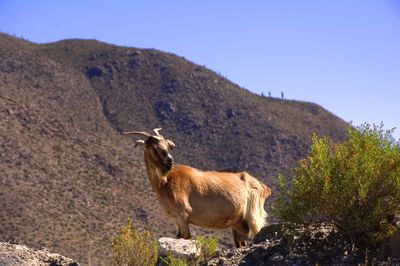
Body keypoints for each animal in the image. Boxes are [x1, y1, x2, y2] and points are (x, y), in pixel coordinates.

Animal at [122, 129, 272, 247]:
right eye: (153, 148)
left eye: (166, 145)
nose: (170, 161)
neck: (166, 181)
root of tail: (262, 186)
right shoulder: (178, 220)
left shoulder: (183, 215)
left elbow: (185, 238)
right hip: (238, 222)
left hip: (253, 214)